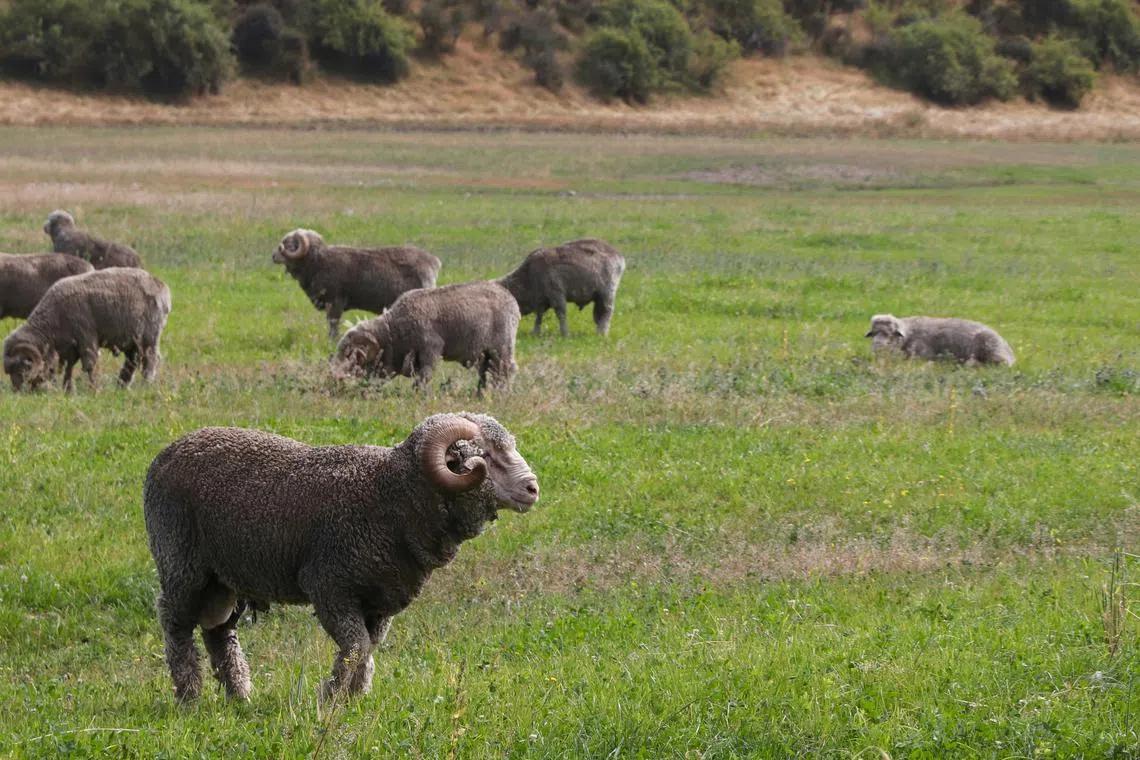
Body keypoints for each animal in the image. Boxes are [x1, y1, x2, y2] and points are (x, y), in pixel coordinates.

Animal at [3, 268, 172, 391]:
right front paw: (67, 389)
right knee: (132, 361)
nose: (17, 391)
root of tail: (162, 287)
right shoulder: (69, 346)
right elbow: (69, 367)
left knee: (150, 359)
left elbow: (89, 364)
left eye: (22, 368)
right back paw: (121, 386)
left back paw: (146, 384)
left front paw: (93, 388)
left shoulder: (86, 338)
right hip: (132, 340)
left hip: (149, 336)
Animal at [143, 412, 540, 703]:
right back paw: (188, 695)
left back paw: (239, 695)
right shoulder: (330, 586)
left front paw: (354, 698)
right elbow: (355, 646)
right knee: (175, 624)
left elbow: (367, 648)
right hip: (182, 564)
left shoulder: (379, 600)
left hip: (223, 579)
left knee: (220, 632)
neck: (390, 495)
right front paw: (331, 697)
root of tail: (166, 454)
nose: (533, 488)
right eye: (484, 455)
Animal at [272, 228, 441, 340]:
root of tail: (433, 261)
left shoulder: (335, 302)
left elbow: (333, 324)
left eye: (289, 244)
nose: (273, 256)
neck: (318, 262)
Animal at [333, 280, 520, 394]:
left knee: (507, 369)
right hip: (486, 352)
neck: (394, 331)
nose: (335, 378)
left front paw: (420, 395)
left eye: (351, 356)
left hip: (502, 346)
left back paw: (503, 393)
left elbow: (425, 375)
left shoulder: (431, 349)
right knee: (486, 370)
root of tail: (510, 298)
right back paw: (481, 393)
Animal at [496, 238, 625, 337]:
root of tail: (618, 255)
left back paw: (602, 333)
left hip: (607, 291)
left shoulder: (556, 293)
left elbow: (561, 314)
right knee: (599, 314)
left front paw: (564, 333)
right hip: (598, 296)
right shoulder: (541, 299)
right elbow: (539, 316)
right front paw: (535, 332)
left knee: (607, 311)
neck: (527, 277)